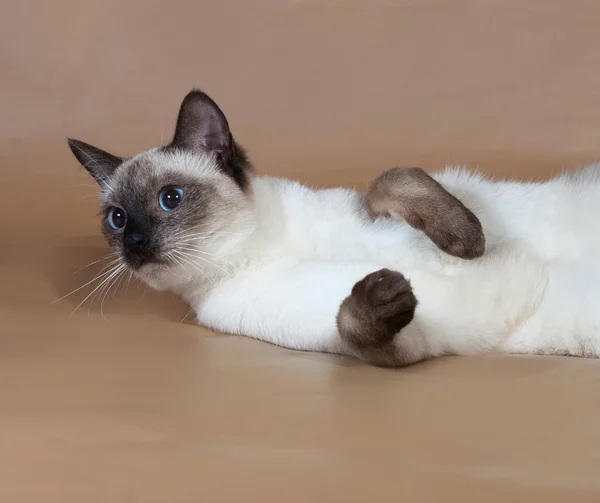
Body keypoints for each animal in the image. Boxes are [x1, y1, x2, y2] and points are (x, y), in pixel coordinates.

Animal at [65, 89, 600, 366]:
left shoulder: (382, 202)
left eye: (169, 199)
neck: (257, 250)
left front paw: (469, 241)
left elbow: (389, 178)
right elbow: (354, 318)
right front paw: (386, 287)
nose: (135, 244)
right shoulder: (407, 345)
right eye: (117, 219)